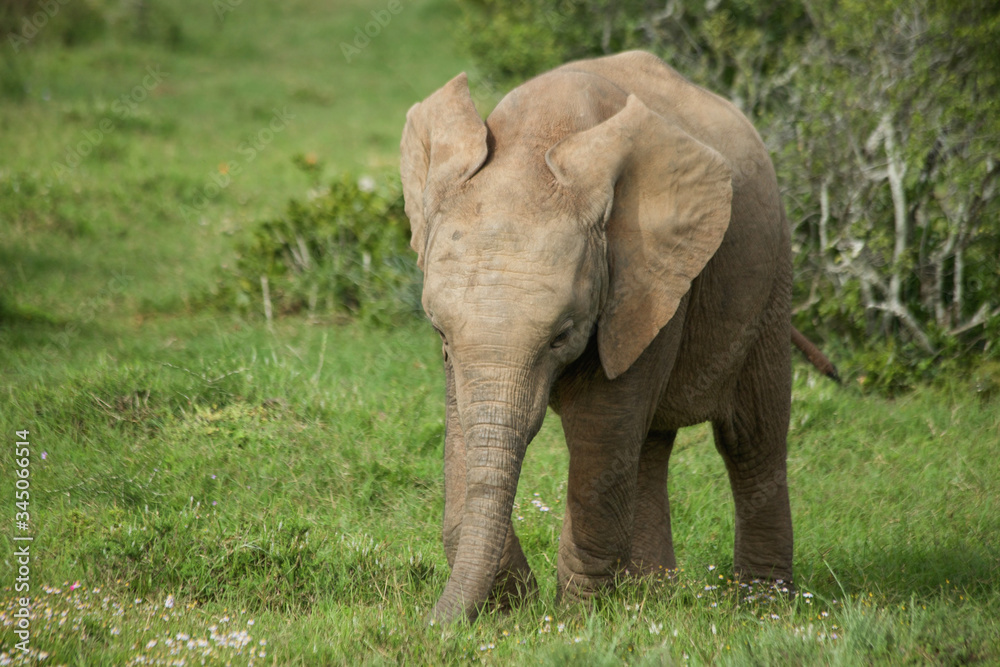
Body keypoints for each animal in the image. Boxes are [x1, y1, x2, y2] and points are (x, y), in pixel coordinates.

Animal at [400, 50, 804, 623]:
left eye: (561, 335)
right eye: (438, 329)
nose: (431, 625)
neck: (536, 139)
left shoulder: (644, 282)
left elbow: (600, 431)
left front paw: (571, 619)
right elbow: (464, 428)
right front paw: (522, 603)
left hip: (771, 279)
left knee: (751, 440)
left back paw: (762, 606)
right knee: (651, 447)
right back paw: (655, 596)